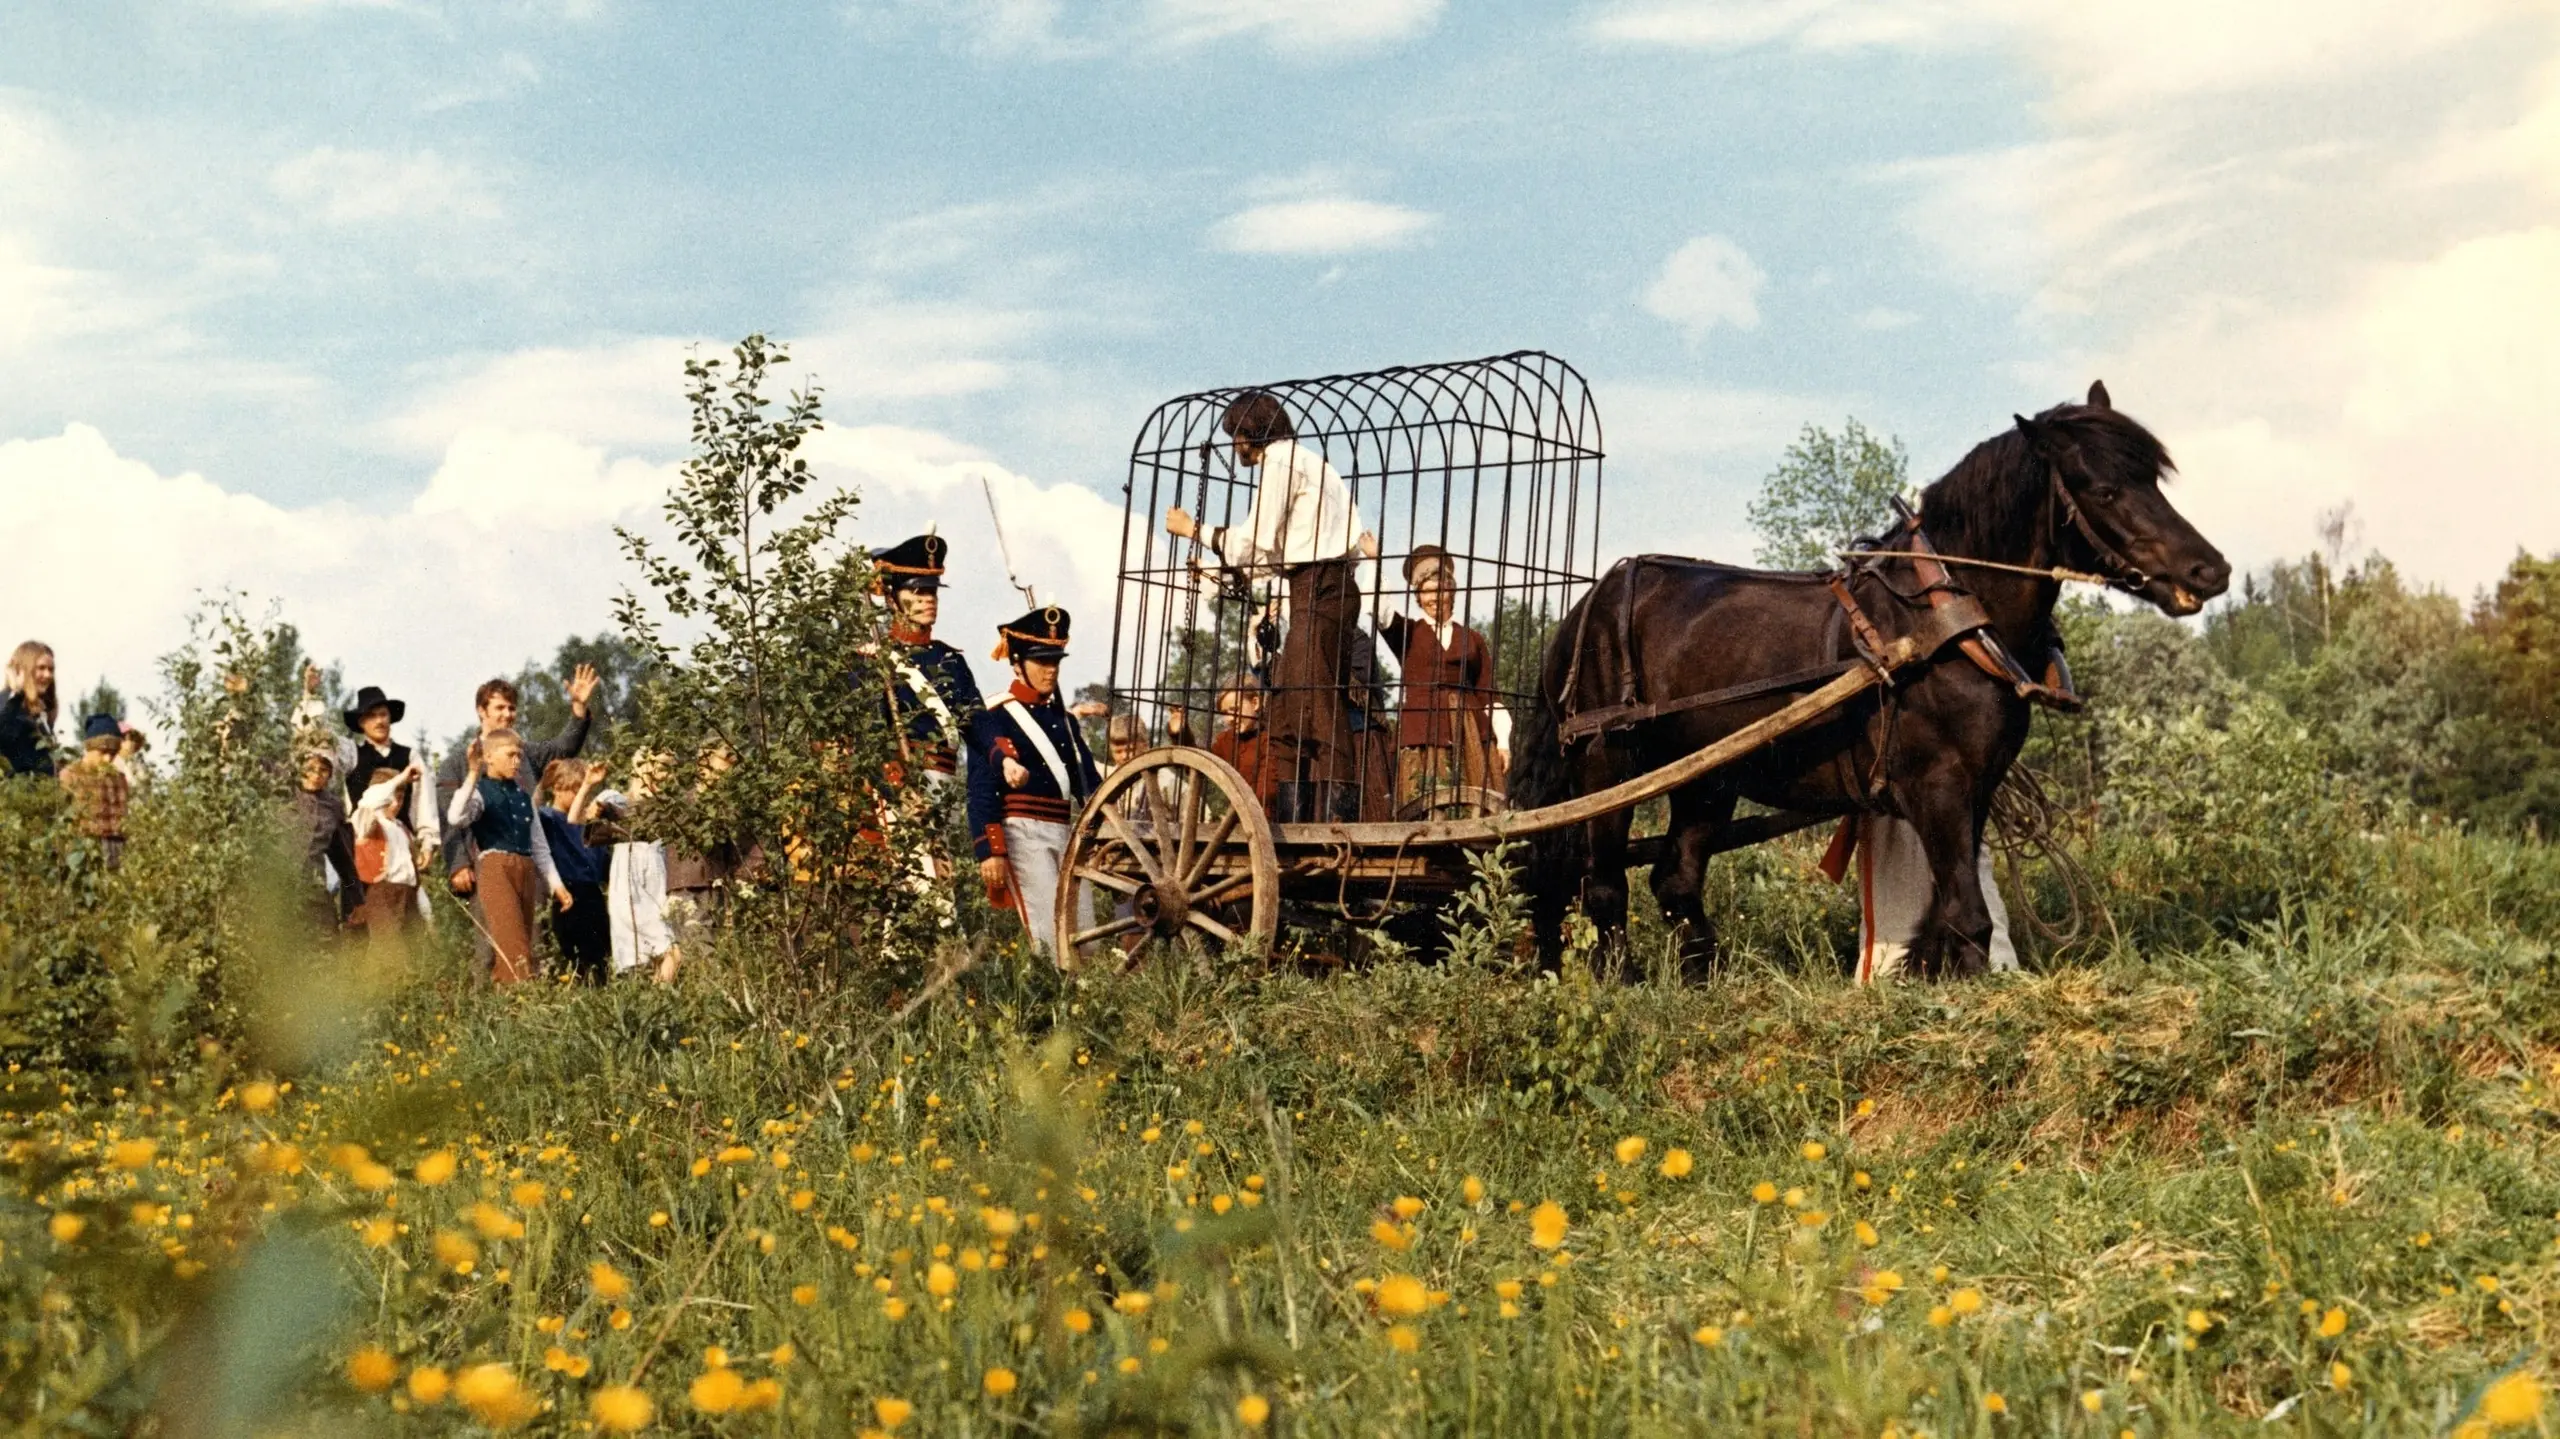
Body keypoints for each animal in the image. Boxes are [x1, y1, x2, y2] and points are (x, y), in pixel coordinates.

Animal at [1505, 381, 2232, 972]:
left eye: (2154, 480)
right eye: (2104, 489)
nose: (2211, 570)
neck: (1947, 622)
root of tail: (1586, 607)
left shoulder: (1976, 787)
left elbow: (1947, 912)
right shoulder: (1937, 784)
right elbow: (1968, 915)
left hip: (1706, 778)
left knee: (1675, 880)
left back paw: (1700, 983)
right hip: (1607, 761)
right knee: (1600, 883)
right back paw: (1619, 981)